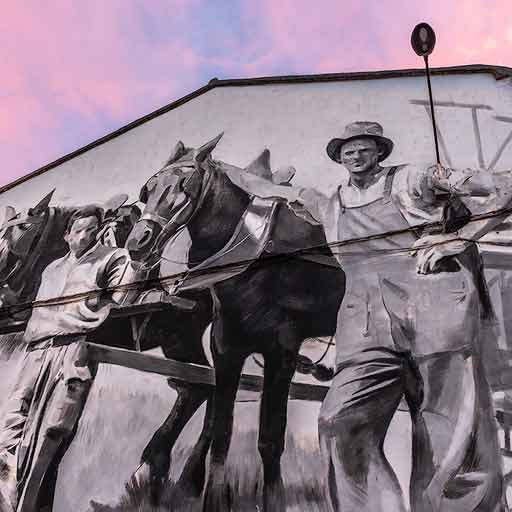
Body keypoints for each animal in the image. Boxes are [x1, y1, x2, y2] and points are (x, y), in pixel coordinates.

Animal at [126, 134, 346, 510]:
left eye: (185, 186)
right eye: (148, 189)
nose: (138, 242)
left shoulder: (282, 350)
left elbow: (270, 438)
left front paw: (274, 500)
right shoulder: (226, 345)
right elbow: (221, 430)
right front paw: (210, 498)